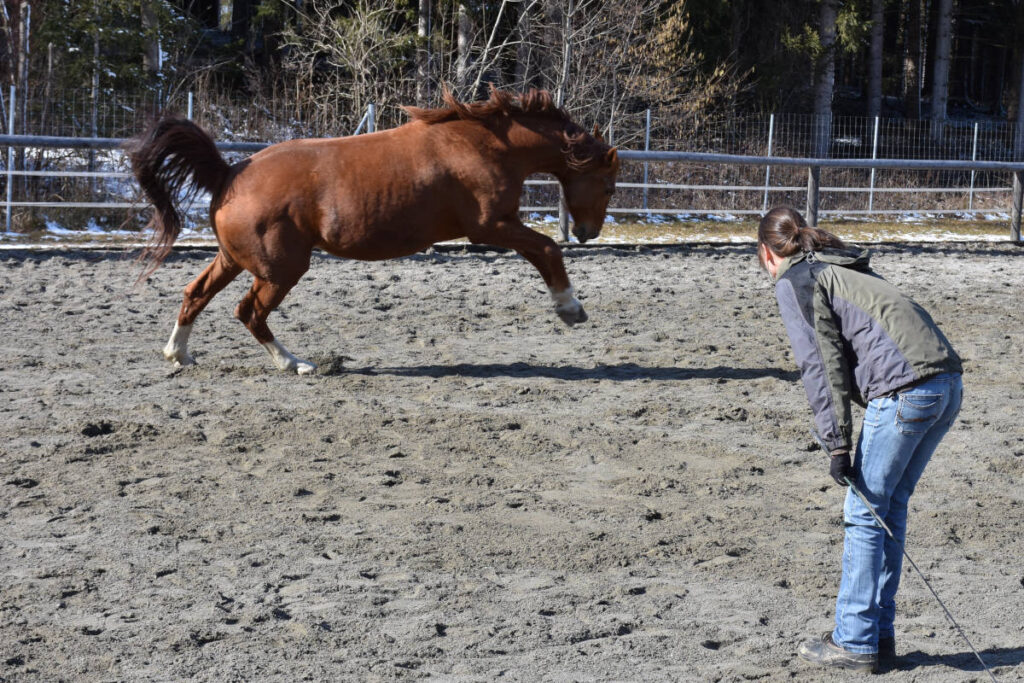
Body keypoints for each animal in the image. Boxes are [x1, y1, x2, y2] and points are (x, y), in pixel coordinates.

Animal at [132, 87, 618, 374]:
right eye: (610, 184)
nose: (589, 232)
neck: (483, 145)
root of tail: (229, 173)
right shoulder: (491, 227)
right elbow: (548, 250)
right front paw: (569, 309)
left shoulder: (497, 228)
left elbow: (544, 251)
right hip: (280, 270)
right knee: (248, 311)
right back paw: (296, 364)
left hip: (235, 259)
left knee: (196, 293)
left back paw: (179, 354)